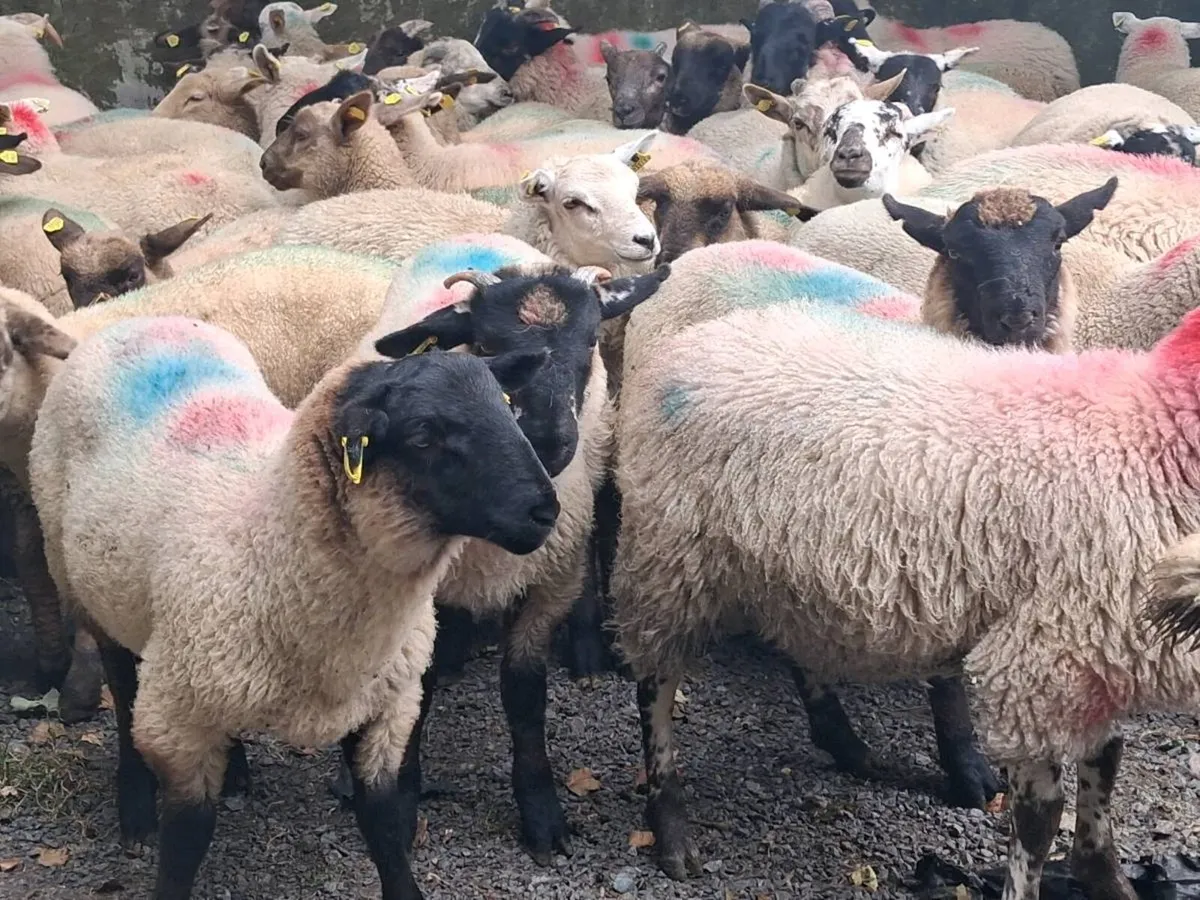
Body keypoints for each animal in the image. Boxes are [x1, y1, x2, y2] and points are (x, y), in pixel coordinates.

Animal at [30, 311, 557, 900]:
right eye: (424, 435)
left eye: (508, 407)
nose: (545, 510)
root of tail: (136, 319)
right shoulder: (176, 718)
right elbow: (187, 837)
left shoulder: (386, 709)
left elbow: (381, 822)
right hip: (85, 587)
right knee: (122, 692)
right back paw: (136, 809)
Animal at [352, 234, 670, 865]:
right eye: (488, 345)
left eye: (592, 340)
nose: (548, 439)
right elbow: (420, 692)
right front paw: (406, 798)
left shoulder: (549, 583)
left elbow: (524, 697)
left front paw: (542, 814)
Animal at [611, 244, 1200, 897]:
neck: (1154, 427)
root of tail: (694, 339)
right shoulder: (1041, 660)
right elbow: (1040, 820)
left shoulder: (1102, 651)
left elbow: (1104, 772)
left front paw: (1107, 879)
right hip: (669, 557)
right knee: (655, 687)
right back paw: (670, 824)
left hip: (780, 564)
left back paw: (847, 746)